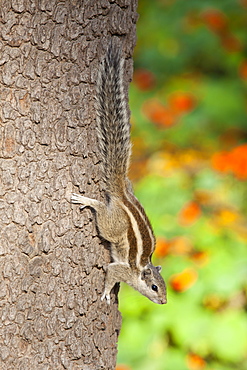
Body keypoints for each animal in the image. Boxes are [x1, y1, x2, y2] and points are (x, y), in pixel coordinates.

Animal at [71, 42, 168, 304]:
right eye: (154, 287)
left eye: (165, 287)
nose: (164, 302)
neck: (141, 268)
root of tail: (122, 194)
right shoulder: (120, 269)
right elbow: (111, 272)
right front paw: (106, 293)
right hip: (112, 225)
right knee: (101, 209)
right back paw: (87, 200)